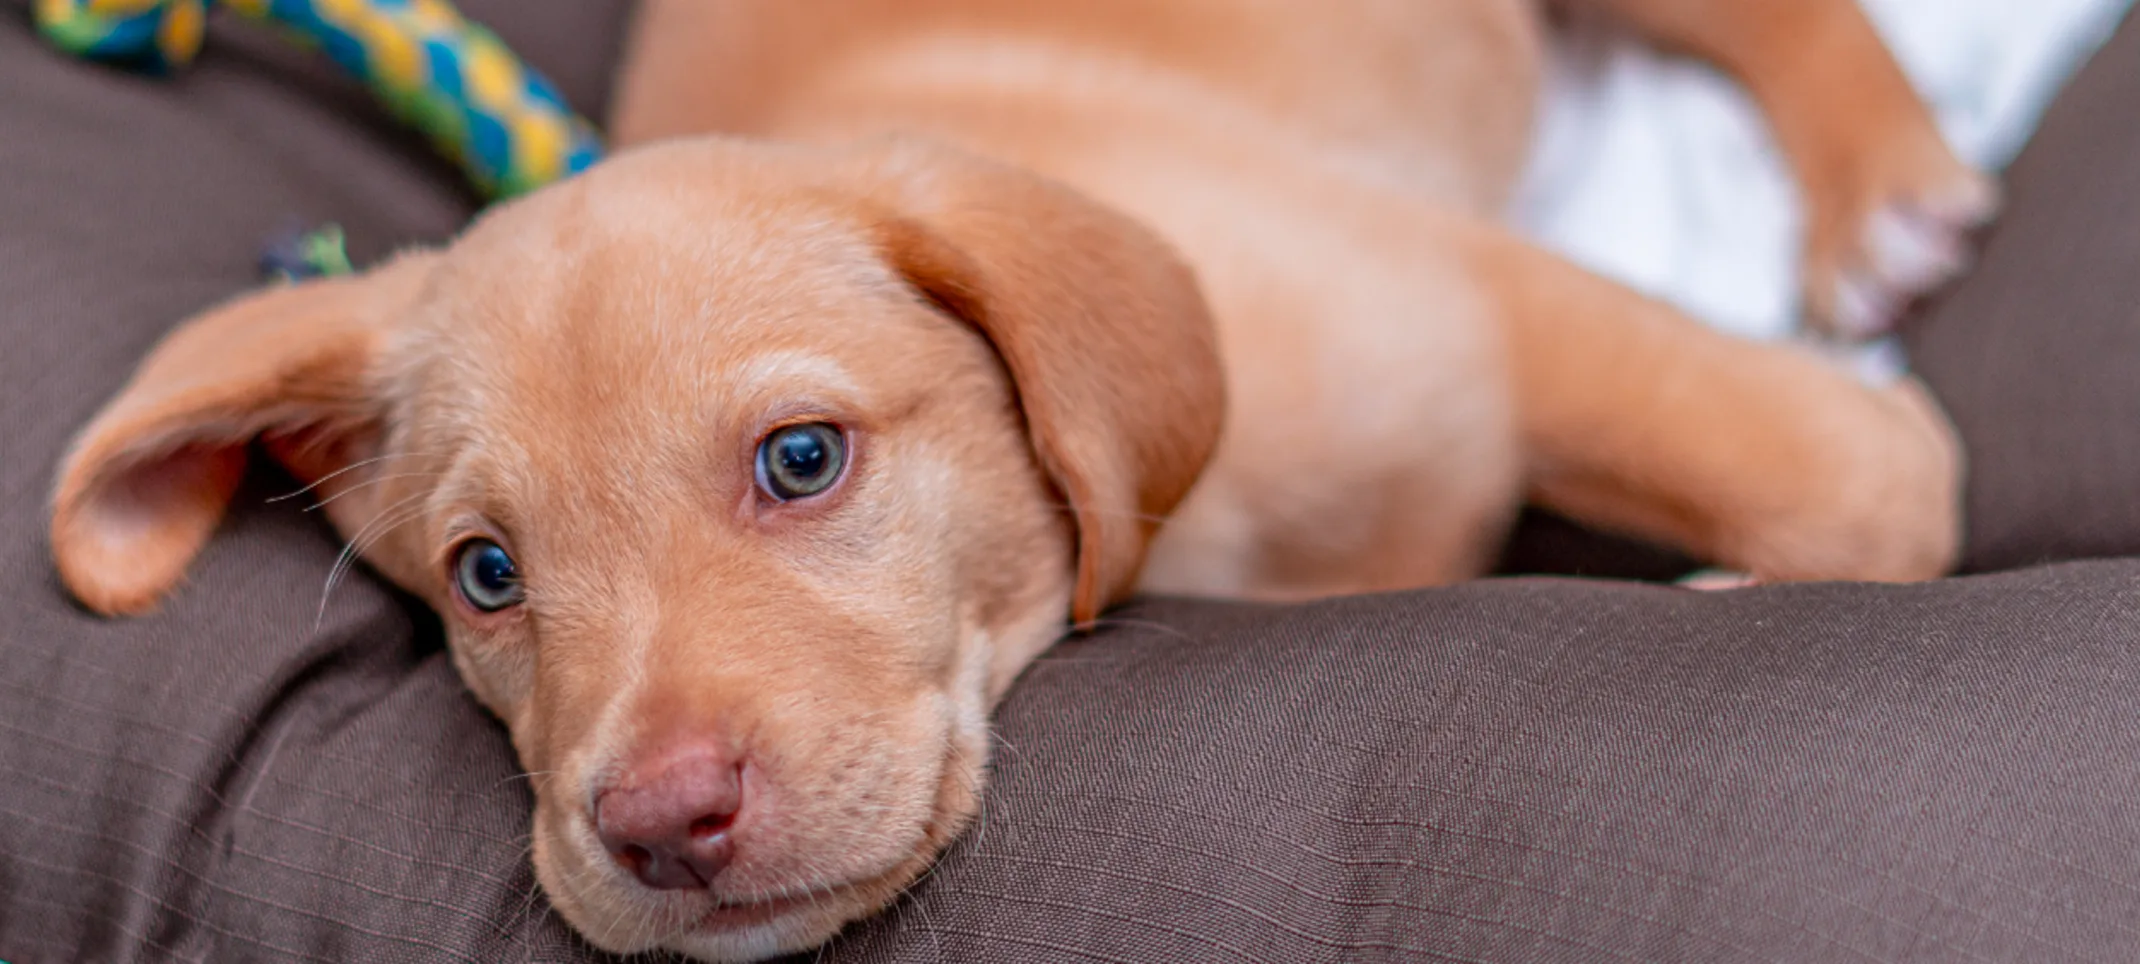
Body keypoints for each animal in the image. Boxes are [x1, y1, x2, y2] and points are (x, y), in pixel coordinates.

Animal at [46, 3, 1985, 959]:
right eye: (486, 576)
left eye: (802, 459)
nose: (661, 825)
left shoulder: (1483, 308)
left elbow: (1863, 478)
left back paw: (1880, 172)